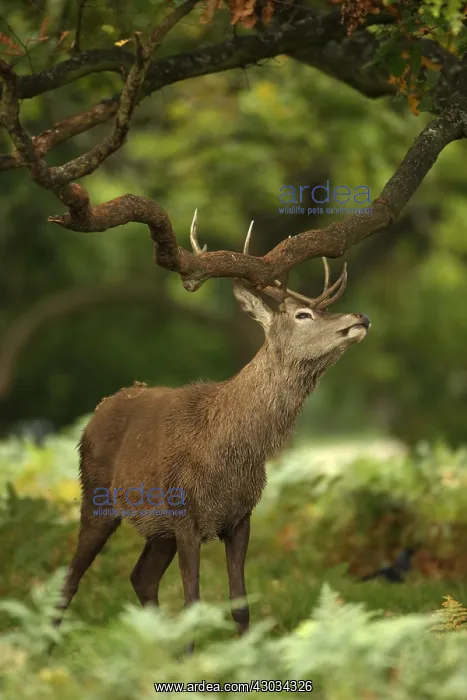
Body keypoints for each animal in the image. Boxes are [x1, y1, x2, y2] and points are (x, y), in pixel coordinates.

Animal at [53, 212, 371, 652]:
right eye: (302, 315)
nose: (360, 318)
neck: (233, 450)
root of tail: (95, 414)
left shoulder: (240, 518)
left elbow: (240, 604)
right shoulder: (187, 515)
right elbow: (193, 603)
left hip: (158, 530)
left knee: (140, 577)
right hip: (97, 496)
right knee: (70, 578)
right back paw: (45, 648)